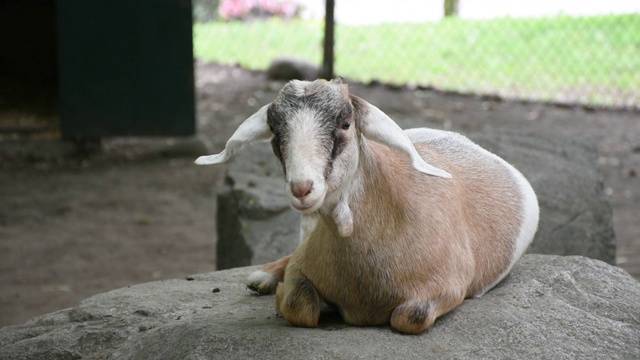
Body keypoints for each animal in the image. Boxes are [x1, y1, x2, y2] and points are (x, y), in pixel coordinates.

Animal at [196, 77, 540, 334]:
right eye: (275, 132)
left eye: (346, 122)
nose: (302, 189)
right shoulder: (302, 266)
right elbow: (299, 306)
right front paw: (281, 292)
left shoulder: (447, 289)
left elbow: (409, 317)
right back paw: (262, 277)